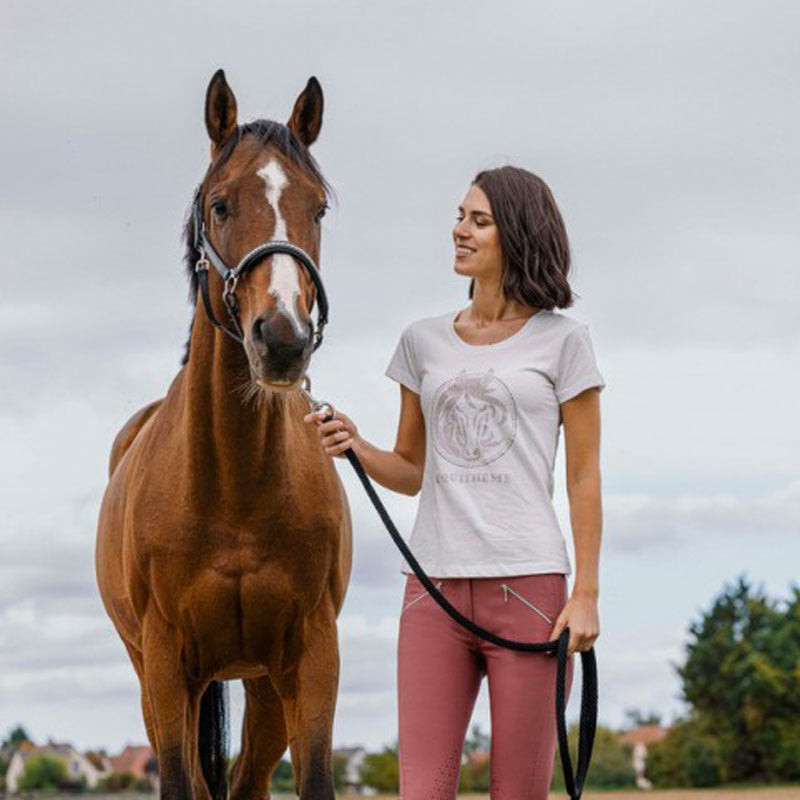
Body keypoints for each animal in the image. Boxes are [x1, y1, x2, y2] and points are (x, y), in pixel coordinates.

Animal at [95, 72, 352, 800]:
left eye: (319, 208)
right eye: (219, 204)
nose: (284, 338)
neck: (234, 488)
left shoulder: (311, 660)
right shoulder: (165, 668)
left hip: (265, 688)